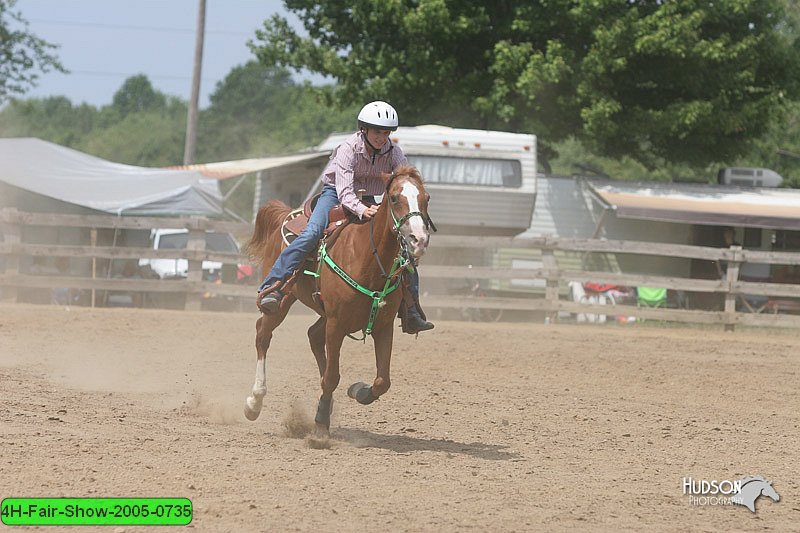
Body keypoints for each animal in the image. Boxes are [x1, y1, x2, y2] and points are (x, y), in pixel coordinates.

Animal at [242, 164, 432, 434]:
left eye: (427, 198)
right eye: (395, 198)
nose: (419, 240)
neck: (368, 259)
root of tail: (287, 214)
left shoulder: (382, 326)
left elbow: (382, 380)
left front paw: (357, 391)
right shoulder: (336, 324)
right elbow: (332, 376)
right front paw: (320, 424)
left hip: (325, 312)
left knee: (312, 335)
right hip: (284, 301)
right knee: (263, 334)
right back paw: (254, 402)